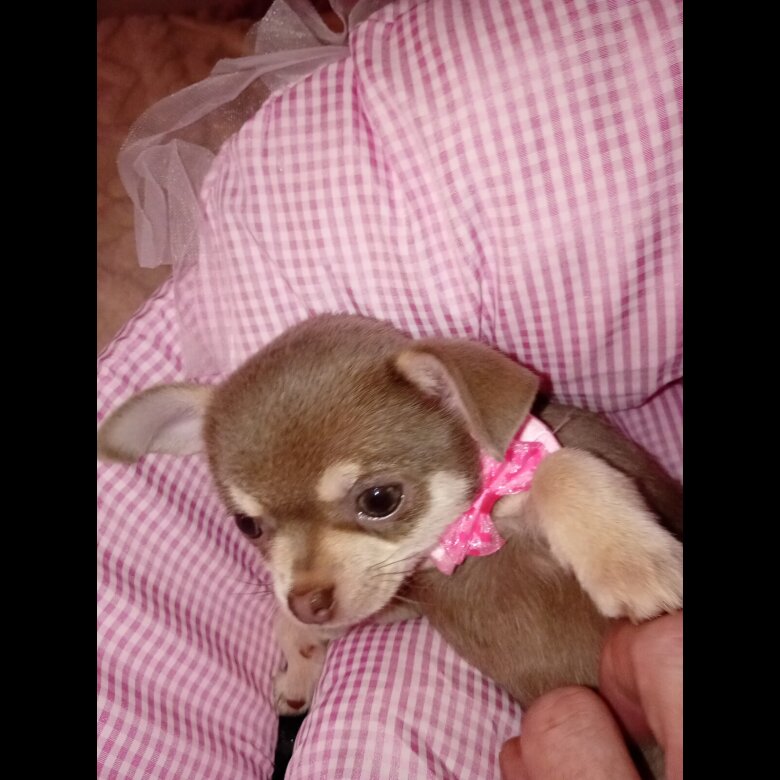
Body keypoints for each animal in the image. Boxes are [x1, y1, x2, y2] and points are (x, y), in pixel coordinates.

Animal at [98, 313, 682, 775]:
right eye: (248, 526)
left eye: (380, 499)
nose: (309, 600)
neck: (460, 535)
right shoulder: (401, 593)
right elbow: (293, 617)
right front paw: (300, 662)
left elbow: (563, 469)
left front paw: (633, 561)